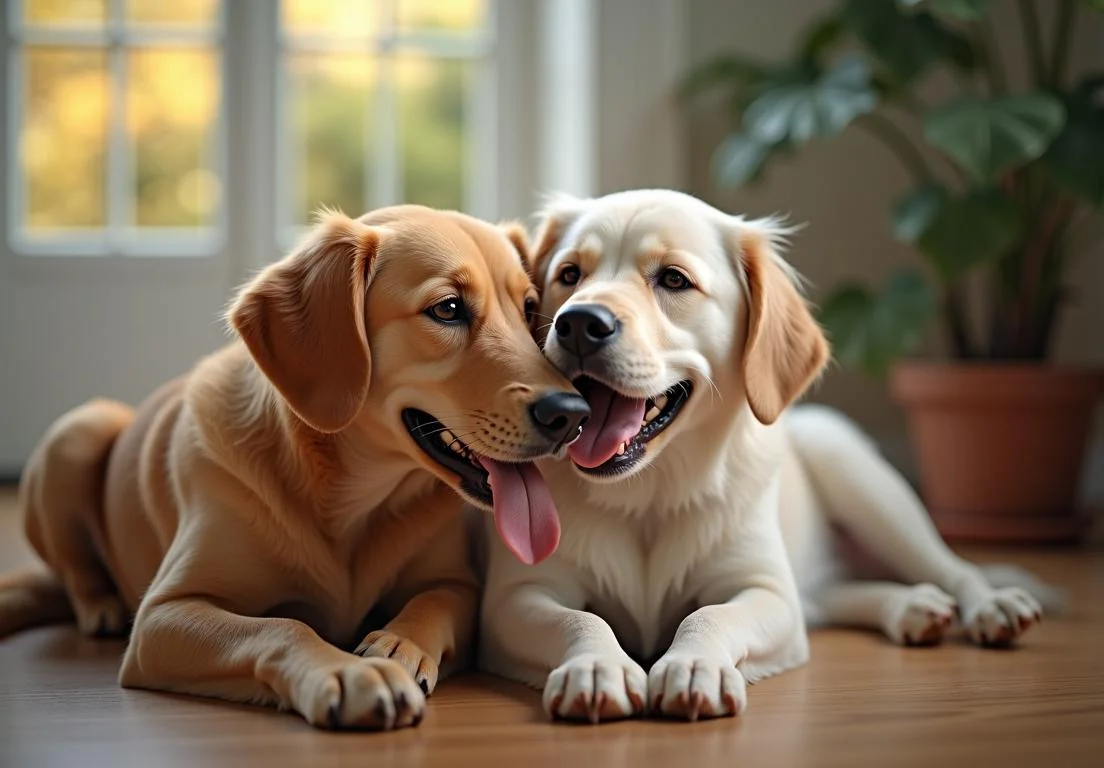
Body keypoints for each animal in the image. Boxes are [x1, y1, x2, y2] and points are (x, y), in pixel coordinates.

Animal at [479, 188, 1055, 723]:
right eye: (570, 274)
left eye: (673, 279)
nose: (577, 323)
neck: (648, 495)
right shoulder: (518, 595)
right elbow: (582, 618)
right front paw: (597, 666)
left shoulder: (765, 589)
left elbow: (709, 615)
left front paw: (694, 665)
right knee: (826, 596)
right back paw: (911, 605)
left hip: (860, 477)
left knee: (949, 564)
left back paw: (989, 604)